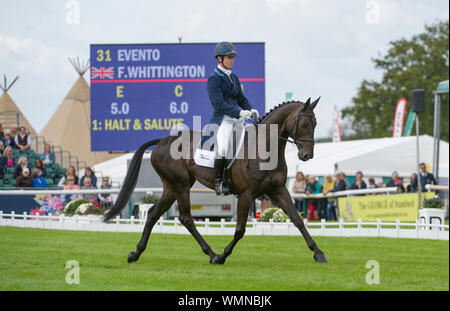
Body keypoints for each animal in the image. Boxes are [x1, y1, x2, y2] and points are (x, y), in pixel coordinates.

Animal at [102, 98, 326, 264]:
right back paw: (211, 254)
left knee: (153, 214)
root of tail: (162, 141)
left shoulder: (278, 190)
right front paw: (223, 256)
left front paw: (318, 253)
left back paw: (136, 253)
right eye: (304, 124)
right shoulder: (246, 195)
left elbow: (297, 220)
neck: (264, 148)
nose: (307, 155)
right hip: (180, 186)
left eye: (315, 124)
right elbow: (240, 230)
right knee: (186, 218)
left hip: (171, 187)